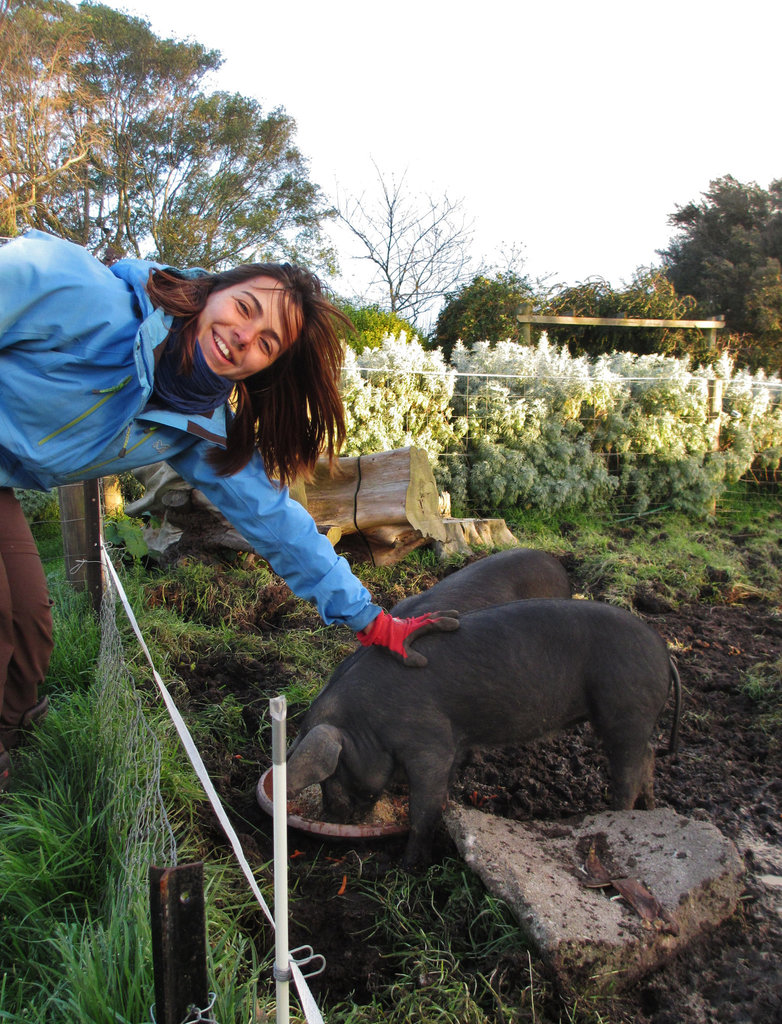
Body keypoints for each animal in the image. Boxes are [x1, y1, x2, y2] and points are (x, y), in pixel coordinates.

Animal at [286, 598, 679, 872]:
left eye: (334, 771)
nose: (333, 816)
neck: (366, 722)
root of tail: (663, 650)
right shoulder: (453, 742)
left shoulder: (430, 741)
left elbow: (423, 807)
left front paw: (407, 866)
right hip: (632, 719)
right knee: (647, 759)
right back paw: (650, 808)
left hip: (626, 710)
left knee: (628, 772)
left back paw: (618, 814)